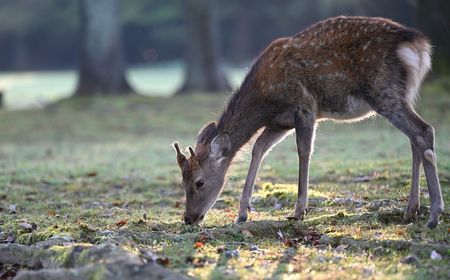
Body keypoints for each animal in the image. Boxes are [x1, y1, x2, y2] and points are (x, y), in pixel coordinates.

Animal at [172, 16, 442, 229]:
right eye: (182, 181)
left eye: (199, 182)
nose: (189, 218)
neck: (265, 99)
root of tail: (418, 45)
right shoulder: (279, 122)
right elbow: (258, 149)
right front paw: (242, 213)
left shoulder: (304, 105)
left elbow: (303, 151)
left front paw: (298, 211)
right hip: (403, 94)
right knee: (414, 139)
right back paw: (411, 210)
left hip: (383, 90)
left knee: (423, 131)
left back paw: (434, 214)